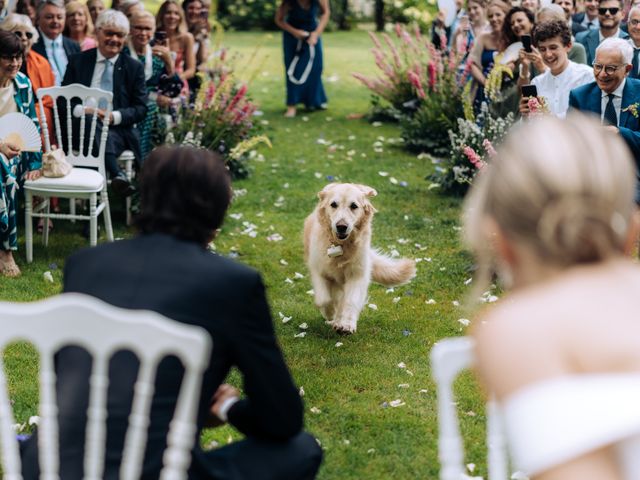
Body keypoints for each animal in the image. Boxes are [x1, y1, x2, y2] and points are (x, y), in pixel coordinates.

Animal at [304, 182, 418, 332]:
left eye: (354, 206)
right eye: (333, 204)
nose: (341, 226)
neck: (341, 245)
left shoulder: (357, 274)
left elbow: (351, 300)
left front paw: (346, 324)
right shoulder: (319, 271)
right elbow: (324, 299)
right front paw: (330, 313)